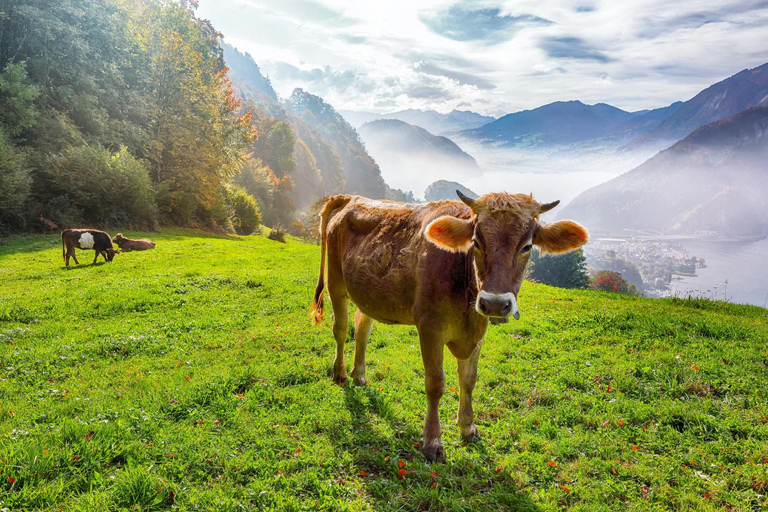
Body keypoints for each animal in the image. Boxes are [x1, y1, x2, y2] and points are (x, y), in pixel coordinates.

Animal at [310, 192, 588, 464]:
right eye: (476, 242)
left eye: (527, 247)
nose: (495, 303)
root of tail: (349, 197)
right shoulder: (429, 326)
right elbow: (436, 384)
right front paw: (433, 442)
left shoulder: (477, 333)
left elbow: (469, 380)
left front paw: (468, 427)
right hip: (336, 283)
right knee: (341, 329)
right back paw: (340, 373)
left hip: (368, 295)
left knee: (362, 329)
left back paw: (359, 375)